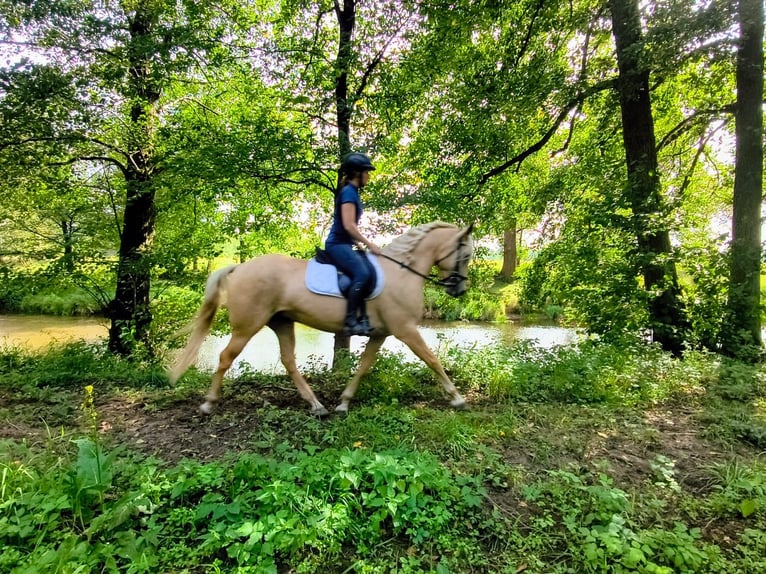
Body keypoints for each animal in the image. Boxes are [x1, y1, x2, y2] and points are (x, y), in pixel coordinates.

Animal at [169, 221, 475, 416]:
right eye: (467, 255)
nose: (459, 290)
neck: (402, 272)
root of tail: (240, 268)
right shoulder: (406, 330)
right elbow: (432, 359)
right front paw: (457, 398)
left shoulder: (381, 333)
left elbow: (364, 366)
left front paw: (344, 403)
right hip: (247, 326)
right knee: (225, 358)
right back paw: (209, 404)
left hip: (282, 322)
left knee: (289, 361)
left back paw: (317, 405)